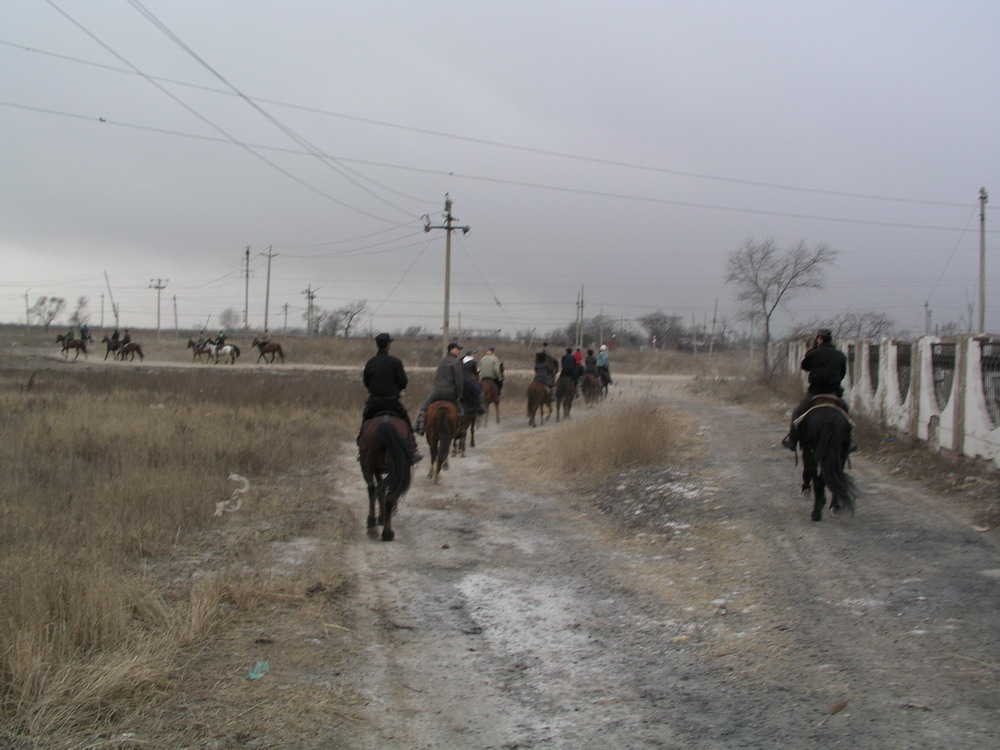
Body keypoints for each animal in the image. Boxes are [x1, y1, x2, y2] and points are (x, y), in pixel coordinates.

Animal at [358, 414, 412, 544]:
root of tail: (385, 424)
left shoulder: (377, 470)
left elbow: (380, 491)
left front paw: (380, 517)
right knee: (388, 495)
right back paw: (386, 532)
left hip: (368, 466)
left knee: (373, 489)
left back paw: (374, 525)